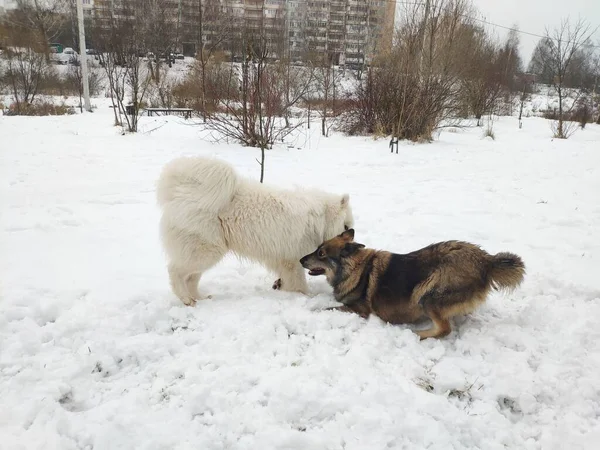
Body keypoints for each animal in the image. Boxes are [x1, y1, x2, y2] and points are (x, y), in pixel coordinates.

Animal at [155, 156, 354, 306]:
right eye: (345, 227)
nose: (352, 243)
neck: (321, 219)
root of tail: (181, 193)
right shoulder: (292, 260)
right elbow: (298, 283)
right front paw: (306, 296)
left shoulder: (283, 260)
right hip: (205, 251)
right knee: (175, 271)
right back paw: (186, 299)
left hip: (204, 253)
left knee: (191, 278)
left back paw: (199, 298)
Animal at [300, 230, 524, 340]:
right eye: (317, 249)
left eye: (321, 253)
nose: (300, 260)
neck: (354, 269)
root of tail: (486, 260)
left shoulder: (359, 309)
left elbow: (327, 308)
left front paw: (312, 310)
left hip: (426, 294)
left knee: (444, 329)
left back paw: (418, 334)